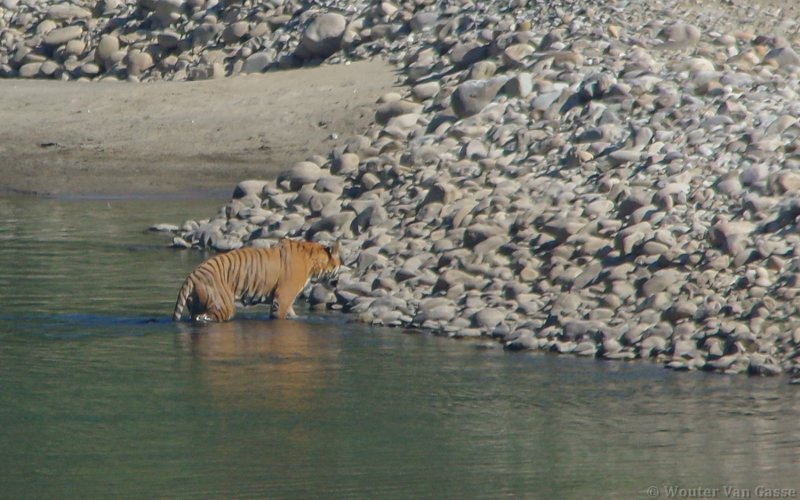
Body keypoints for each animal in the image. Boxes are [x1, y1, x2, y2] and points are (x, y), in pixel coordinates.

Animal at [173, 239, 340, 324]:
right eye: (339, 265)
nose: (337, 282)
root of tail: (192, 276)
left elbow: (292, 313)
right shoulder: (284, 296)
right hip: (223, 306)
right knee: (204, 317)